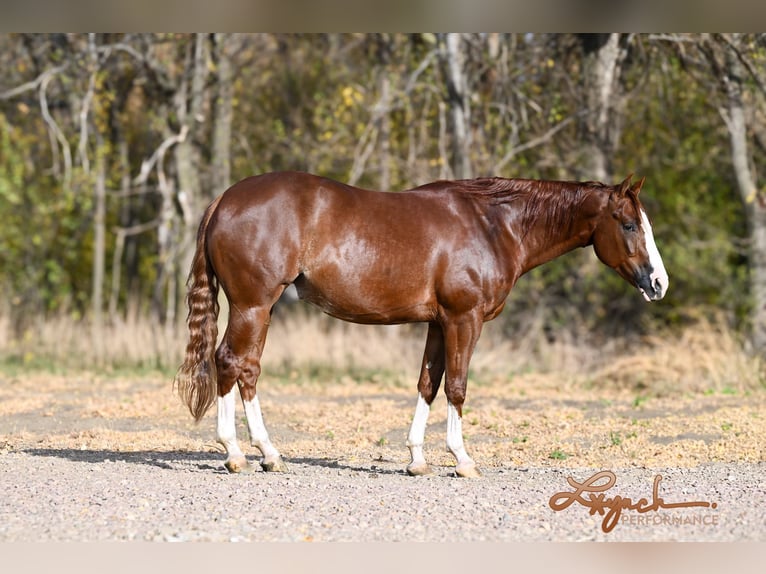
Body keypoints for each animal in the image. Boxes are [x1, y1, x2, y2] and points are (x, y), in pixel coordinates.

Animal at [174, 171, 664, 476]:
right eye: (628, 225)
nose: (659, 283)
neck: (493, 225)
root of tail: (225, 199)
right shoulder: (465, 320)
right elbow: (457, 387)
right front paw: (462, 460)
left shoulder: (438, 323)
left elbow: (429, 383)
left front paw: (416, 459)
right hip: (252, 305)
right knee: (229, 362)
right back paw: (237, 454)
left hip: (263, 309)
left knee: (247, 369)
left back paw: (269, 454)